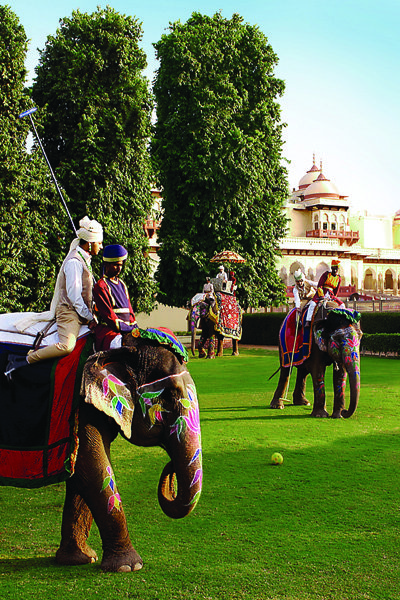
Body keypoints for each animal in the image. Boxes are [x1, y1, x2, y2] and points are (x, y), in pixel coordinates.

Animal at [0, 332, 203, 572]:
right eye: (170, 396)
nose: (170, 466)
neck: (120, 347)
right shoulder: (80, 405)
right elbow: (94, 467)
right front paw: (129, 567)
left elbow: (82, 472)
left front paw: (80, 559)